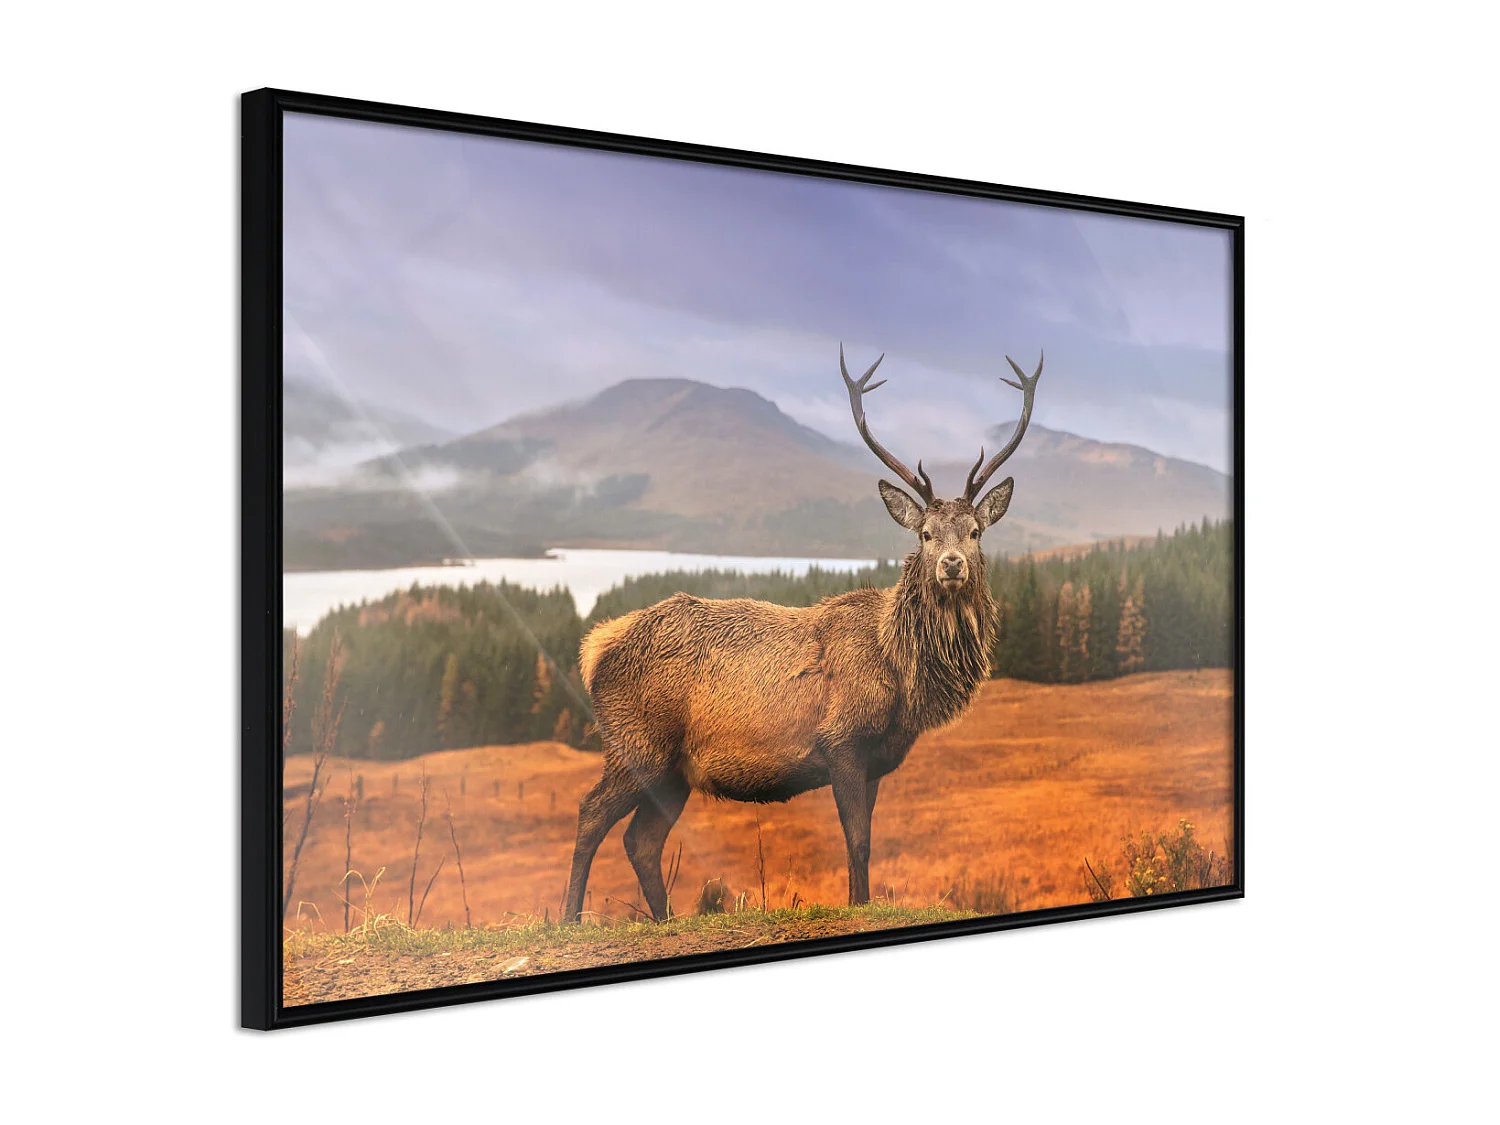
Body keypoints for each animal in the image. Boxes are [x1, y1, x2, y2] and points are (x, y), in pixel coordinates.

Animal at [562, 346, 1043, 923]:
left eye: (975, 532)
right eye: (926, 534)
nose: (952, 564)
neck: (901, 675)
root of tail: (595, 648)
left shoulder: (877, 760)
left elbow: (864, 841)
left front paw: (860, 902)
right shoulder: (842, 740)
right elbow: (856, 839)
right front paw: (858, 905)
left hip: (674, 771)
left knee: (641, 840)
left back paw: (664, 919)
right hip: (637, 743)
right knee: (590, 813)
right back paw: (566, 919)